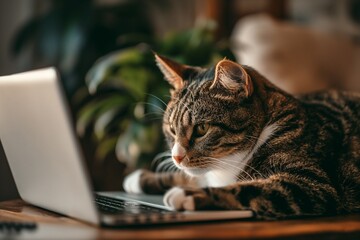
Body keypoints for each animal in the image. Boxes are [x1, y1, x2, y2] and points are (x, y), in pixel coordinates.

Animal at [122, 53, 358, 218]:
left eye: (202, 129)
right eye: (172, 129)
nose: (176, 157)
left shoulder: (313, 184)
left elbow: (251, 188)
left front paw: (189, 195)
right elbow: (190, 175)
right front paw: (139, 178)